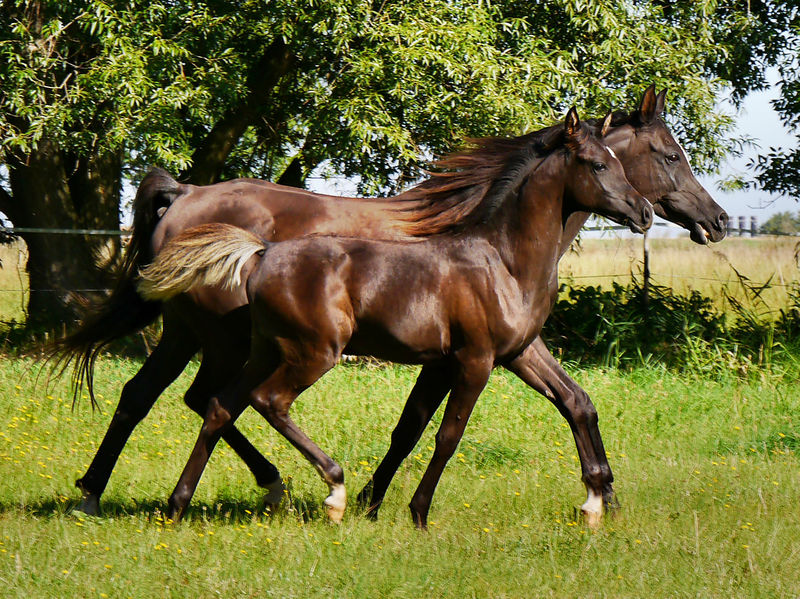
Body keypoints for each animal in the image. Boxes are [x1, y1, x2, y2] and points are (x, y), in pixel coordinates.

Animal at [53, 86, 728, 520]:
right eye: (669, 155)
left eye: (635, 160)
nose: (716, 220)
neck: (497, 249)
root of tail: (185, 193)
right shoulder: (473, 358)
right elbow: (439, 432)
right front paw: (398, 506)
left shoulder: (508, 350)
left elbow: (572, 403)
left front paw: (601, 495)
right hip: (221, 339)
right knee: (181, 397)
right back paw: (105, 493)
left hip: (219, 341)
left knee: (196, 400)